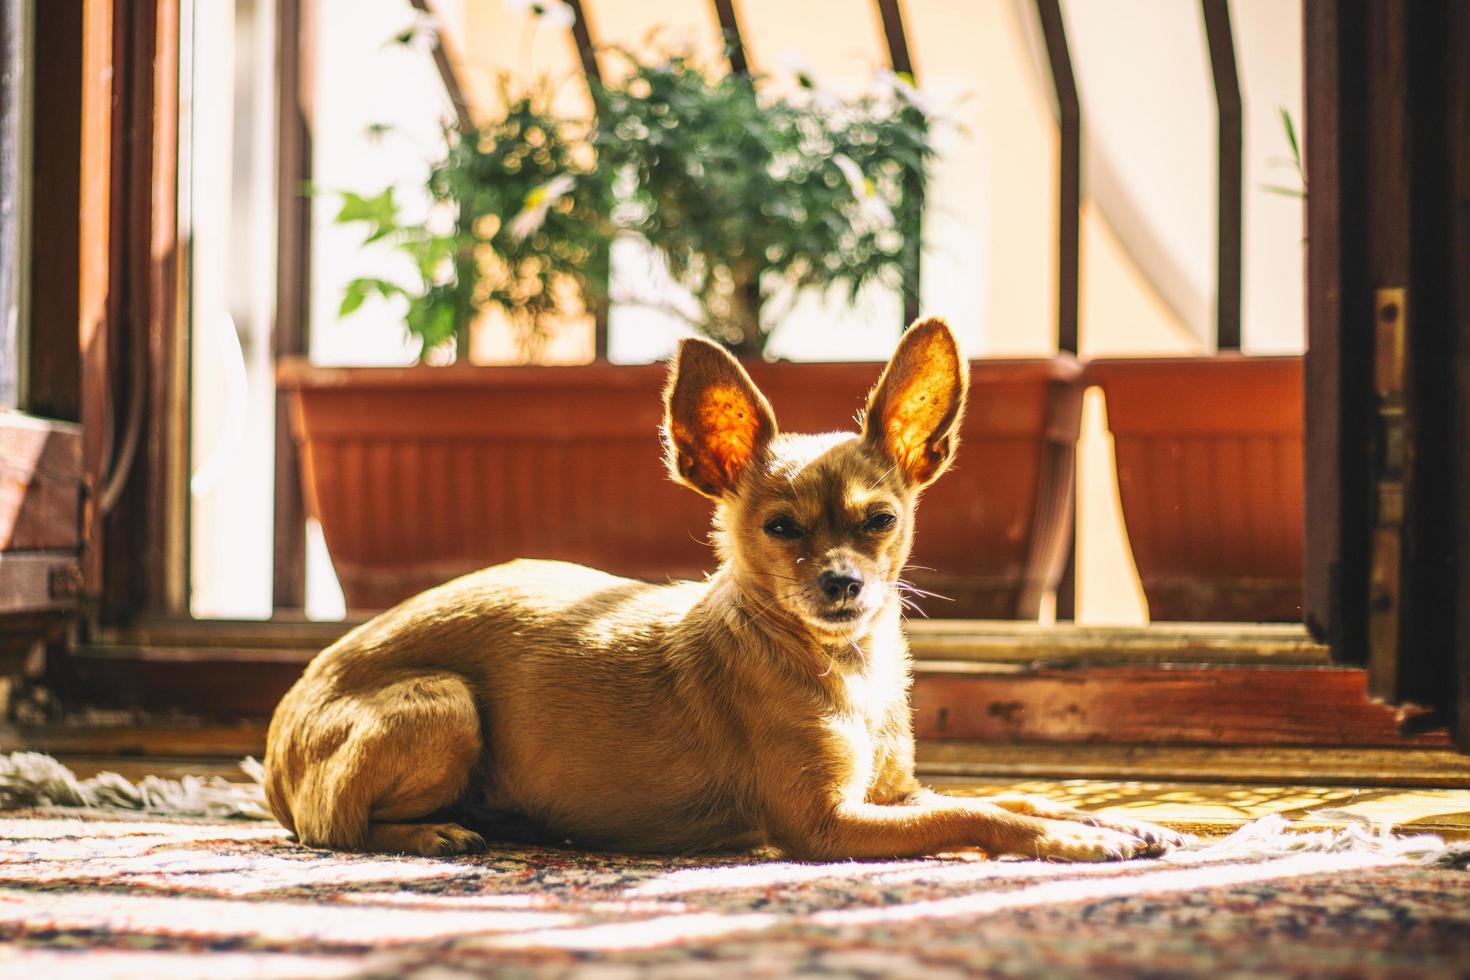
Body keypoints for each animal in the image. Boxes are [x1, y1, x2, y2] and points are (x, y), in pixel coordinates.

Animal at [264, 318, 1181, 863]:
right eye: (780, 529)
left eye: (880, 521)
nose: (844, 583)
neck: (845, 667)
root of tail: (272, 755)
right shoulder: (827, 824)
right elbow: (977, 814)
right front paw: (1071, 840)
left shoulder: (895, 793)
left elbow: (1013, 791)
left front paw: (1111, 817)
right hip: (445, 703)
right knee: (334, 828)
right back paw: (439, 831)